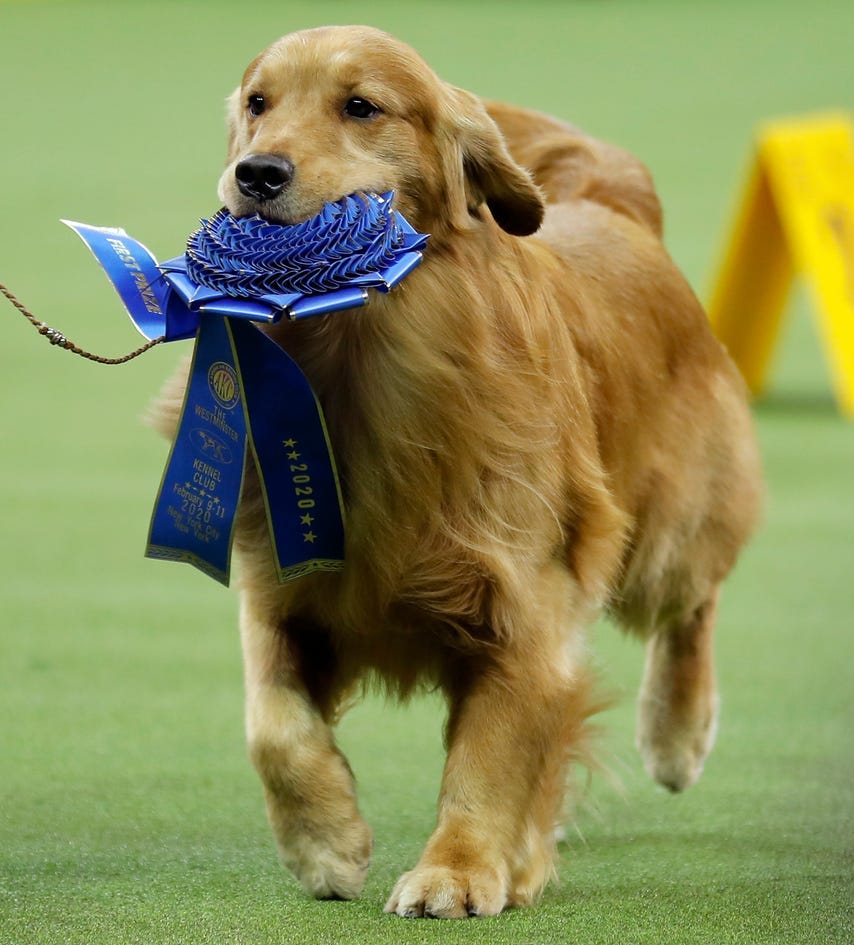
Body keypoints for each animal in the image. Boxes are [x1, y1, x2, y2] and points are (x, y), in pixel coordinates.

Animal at [154, 25, 764, 920]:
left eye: (361, 106)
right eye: (259, 103)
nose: (256, 173)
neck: (359, 357)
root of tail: (611, 203)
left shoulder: (524, 601)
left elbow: (491, 756)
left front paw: (461, 869)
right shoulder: (279, 582)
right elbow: (273, 726)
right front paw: (325, 840)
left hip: (667, 526)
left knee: (694, 603)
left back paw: (676, 732)